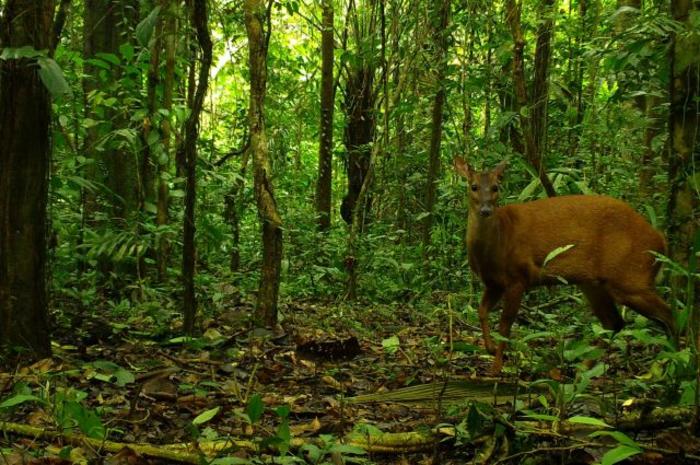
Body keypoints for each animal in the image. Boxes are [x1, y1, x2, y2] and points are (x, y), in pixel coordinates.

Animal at [454, 158, 680, 372]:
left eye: (495, 187)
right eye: (473, 186)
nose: (485, 210)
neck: (497, 244)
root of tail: (661, 241)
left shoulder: (519, 277)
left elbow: (505, 326)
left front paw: (497, 367)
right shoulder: (494, 283)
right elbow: (481, 311)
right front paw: (490, 348)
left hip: (630, 277)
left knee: (668, 314)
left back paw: (673, 363)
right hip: (594, 284)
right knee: (614, 322)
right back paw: (584, 368)